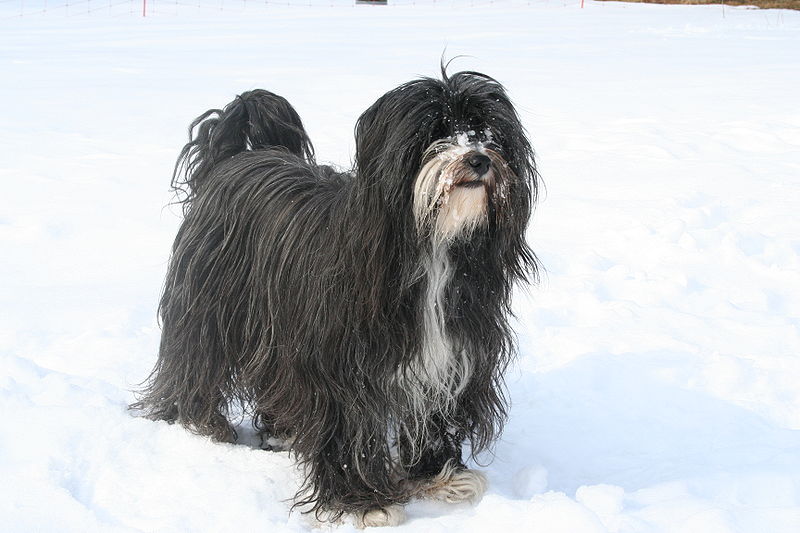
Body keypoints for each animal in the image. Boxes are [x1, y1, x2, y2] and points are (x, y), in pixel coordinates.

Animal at [134, 67, 540, 528]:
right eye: (435, 131)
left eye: (485, 131)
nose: (478, 159)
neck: (430, 245)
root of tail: (234, 159)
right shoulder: (342, 367)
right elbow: (348, 432)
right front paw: (364, 502)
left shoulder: (448, 355)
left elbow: (431, 414)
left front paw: (438, 477)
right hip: (210, 305)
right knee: (198, 360)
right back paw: (202, 423)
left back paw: (282, 430)